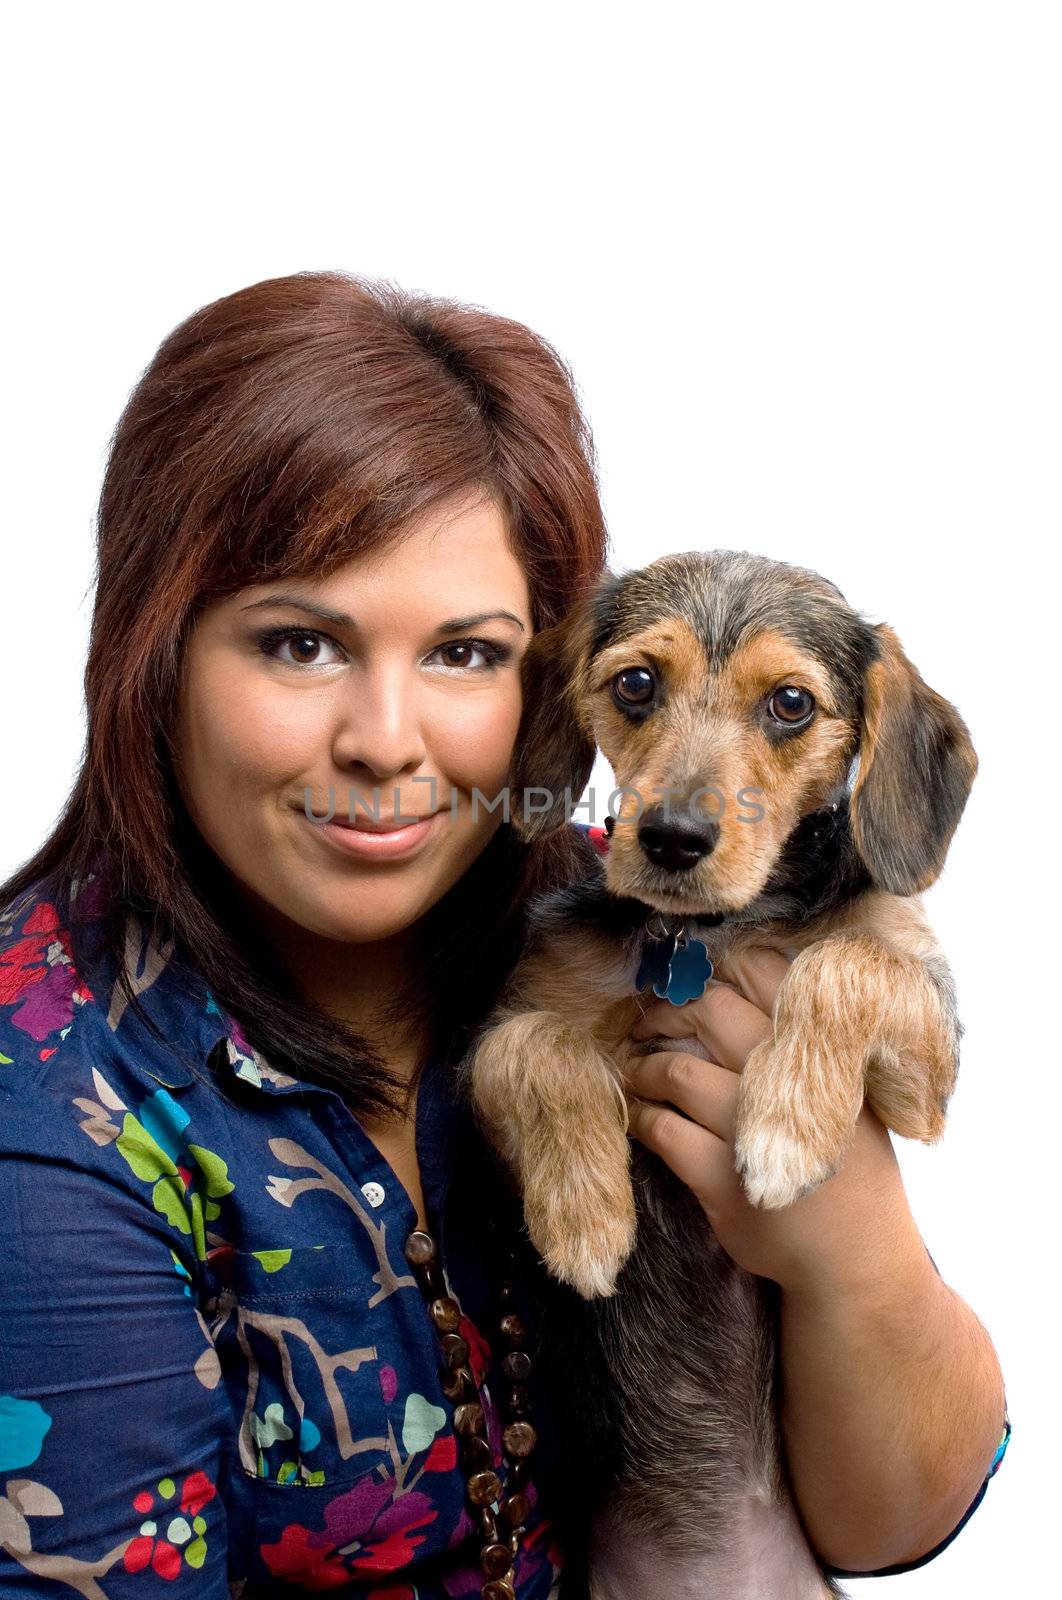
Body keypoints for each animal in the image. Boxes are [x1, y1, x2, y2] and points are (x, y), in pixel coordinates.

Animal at [463, 544, 978, 1593]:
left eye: (790, 703)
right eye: (635, 683)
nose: (669, 839)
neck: (708, 933)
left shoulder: (929, 1064)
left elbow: (843, 961)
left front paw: (783, 1131)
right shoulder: (511, 1028)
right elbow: (530, 1050)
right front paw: (585, 1216)